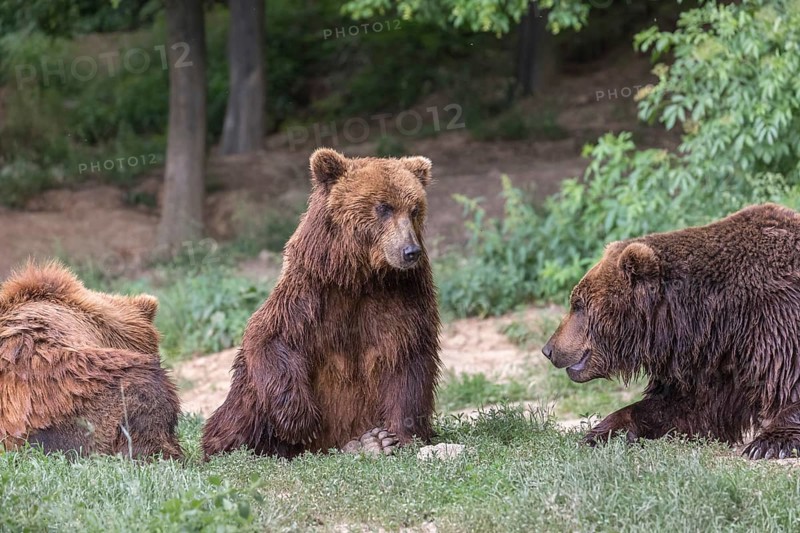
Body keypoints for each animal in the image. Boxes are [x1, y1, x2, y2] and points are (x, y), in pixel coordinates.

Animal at [201, 148, 441, 459]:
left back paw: (369, 441)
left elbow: (407, 358)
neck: (360, 277)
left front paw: (398, 436)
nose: (410, 251)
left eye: (414, 209)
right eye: (383, 207)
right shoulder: (311, 293)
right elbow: (273, 337)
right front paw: (301, 421)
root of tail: (328, 447)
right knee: (244, 407)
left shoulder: (401, 296)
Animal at [542, 203, 800, 460]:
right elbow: (684, 408)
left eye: (578, 305)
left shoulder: (776, 322)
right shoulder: (715, 361)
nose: (548, 349)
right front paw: (598, 434)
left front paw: (768, 443)